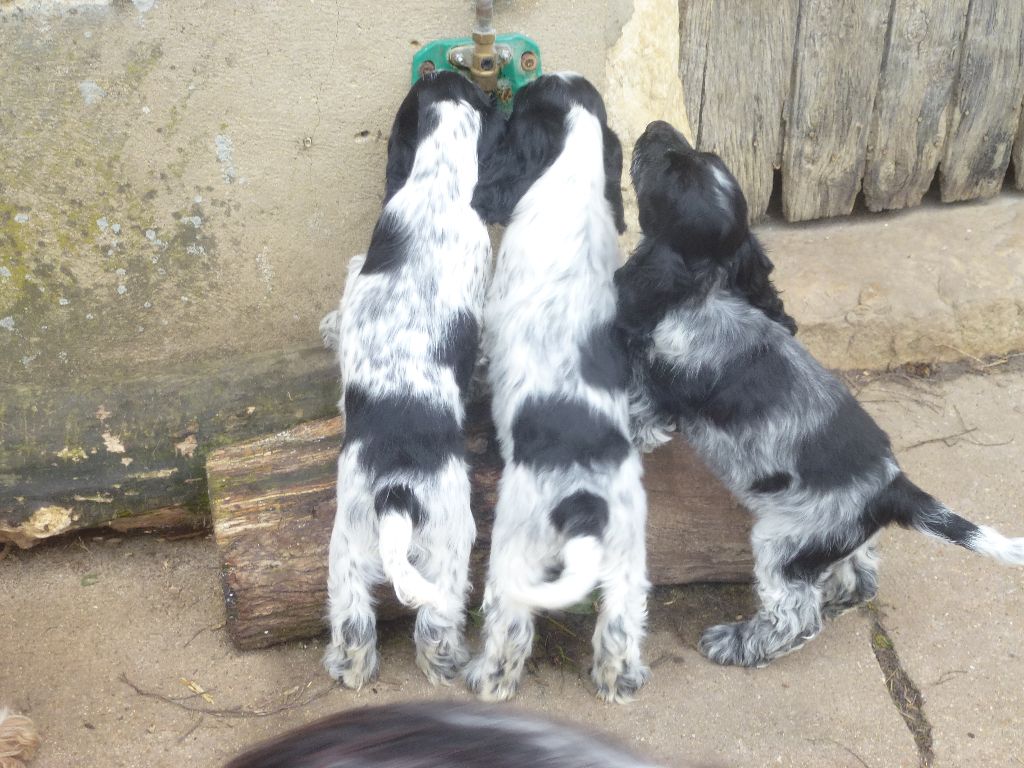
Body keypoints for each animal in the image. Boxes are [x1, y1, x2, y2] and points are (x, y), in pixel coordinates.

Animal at [323, 72, 503, 692]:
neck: (437, 188)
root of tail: (396, 493)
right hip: (452, 541)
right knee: (435, 624)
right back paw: (449, 664)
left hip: (347, 548)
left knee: (354, 626)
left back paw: (347, 670)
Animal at [464, 75, 647, 708]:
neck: (571, 177)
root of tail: (583, 504)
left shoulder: (493, 310)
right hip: (627, 555)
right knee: (619, 627)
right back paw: (619, 684)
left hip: (515, 545)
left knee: (510, 626)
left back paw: (486, 680)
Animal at [614, 118, 1024, 667]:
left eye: (672, 172)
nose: (657, 128)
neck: (707, 291)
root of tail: (892, 487)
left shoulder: (653, 401)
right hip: (835, 542)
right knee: (861, 578)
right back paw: (836, 602)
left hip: (784, 543)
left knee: (794, 614)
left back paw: (739, 642)